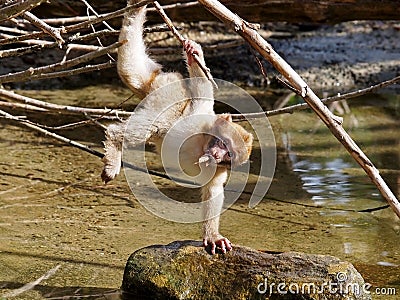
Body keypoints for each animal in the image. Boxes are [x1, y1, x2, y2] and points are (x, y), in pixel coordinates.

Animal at [102, 1, 253, 255]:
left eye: (228, 155)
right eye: (223, 143)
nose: (216, 155)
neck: (203, 142)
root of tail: (158, 83)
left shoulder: (220, 168)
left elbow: (213, 189)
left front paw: (212, 236)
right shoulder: (200, 115)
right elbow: (202, 89)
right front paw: (195, 56)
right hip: (168, 96)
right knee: (157, 123)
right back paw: (114, 145)